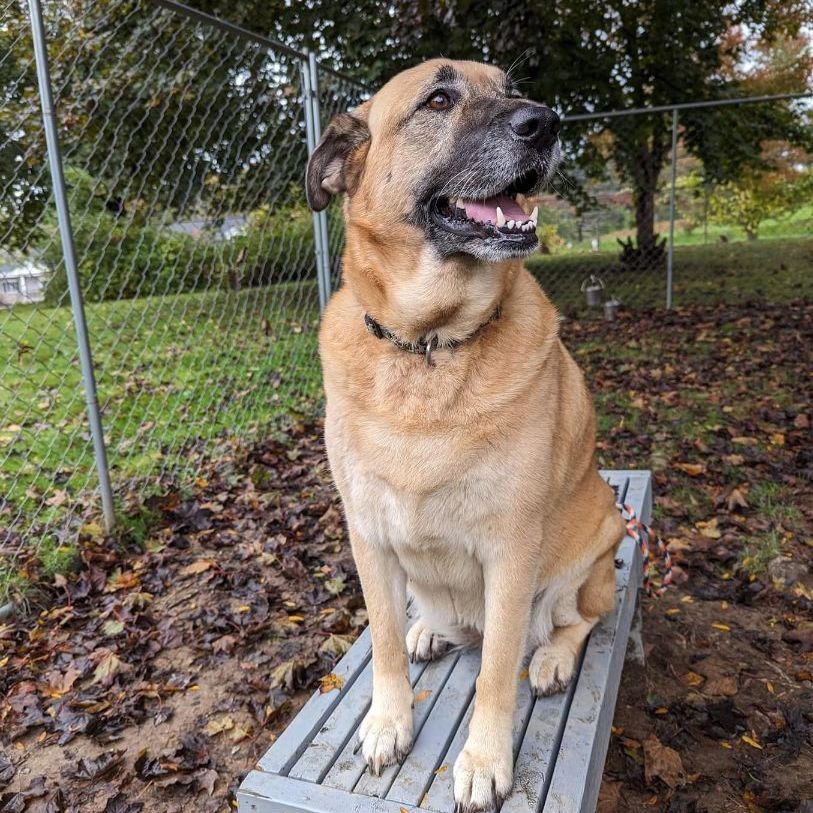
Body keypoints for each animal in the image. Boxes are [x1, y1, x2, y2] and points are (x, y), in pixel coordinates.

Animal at [304, 58, 620, 812]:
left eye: (510, 88)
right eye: (439, 99)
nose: (546, 122)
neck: (428, 346)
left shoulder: (509, 549)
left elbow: (496, 671)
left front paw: (482, 760)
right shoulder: (367, 535)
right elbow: (383, 643)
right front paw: (388, 722)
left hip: (602, 538)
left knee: (577, 620)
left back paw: (552, 657)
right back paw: (429, 629)